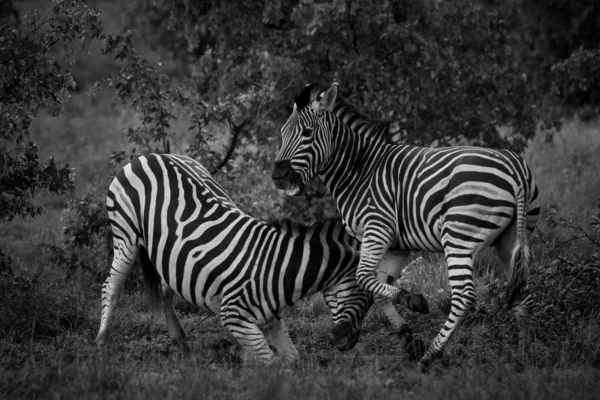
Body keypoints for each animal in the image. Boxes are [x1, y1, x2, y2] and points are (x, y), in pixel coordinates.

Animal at [94, 152, 424, 362]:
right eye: (363, 296)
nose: (346, 342)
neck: (281, 268)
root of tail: (148, 155)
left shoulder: (270, 320)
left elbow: (292, 360)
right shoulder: (235, 316)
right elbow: (270, 363)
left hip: (165, 253)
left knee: (164, 290)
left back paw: (182, 343)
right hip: (125, 236)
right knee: (111, 286)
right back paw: (101, 343)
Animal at [270, 82, 540, 372]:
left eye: (307, 133)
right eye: (283, 133)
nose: (278, 176)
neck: (360, 171)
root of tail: (515, 169)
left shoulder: (377, 229)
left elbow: (363, 278)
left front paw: (415, 304)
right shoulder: (396, 244)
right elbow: (377, 289)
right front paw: (407, 338)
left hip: (460, 238)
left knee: (464, 297)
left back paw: (430, 356)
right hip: (511, 238)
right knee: (524, 295)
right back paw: (524, 360)